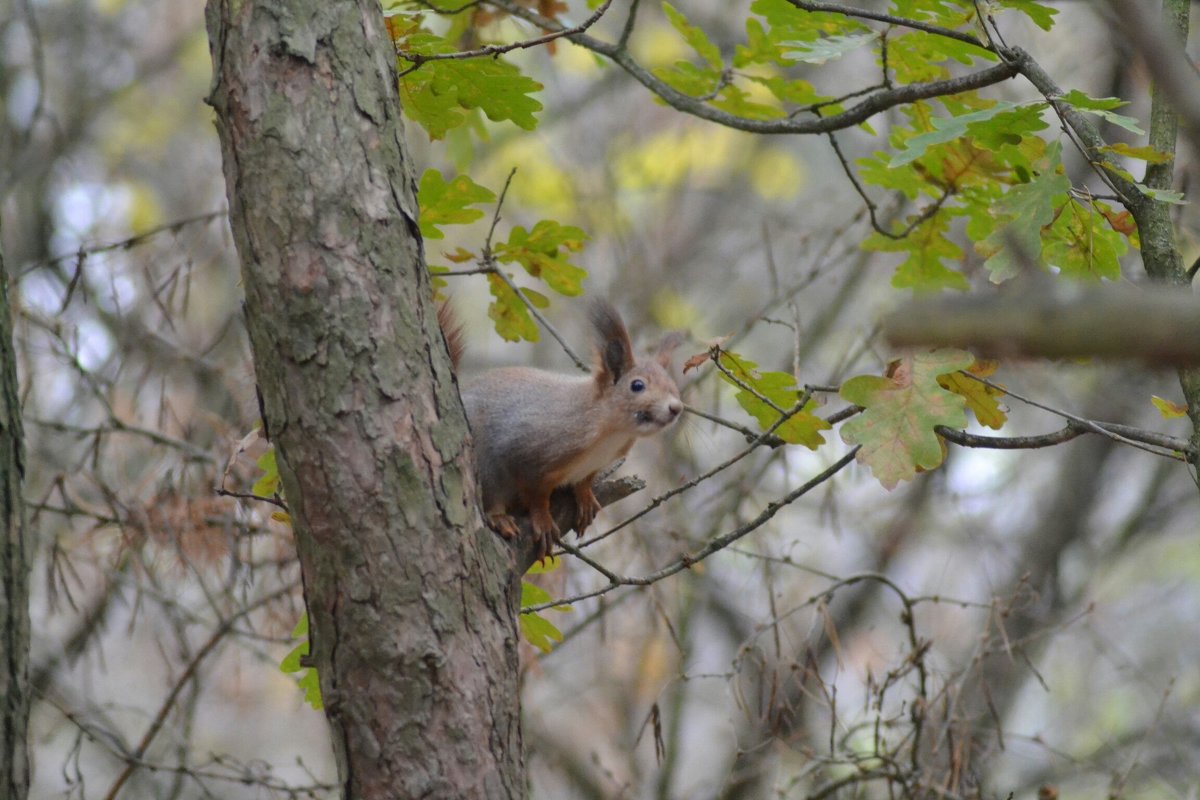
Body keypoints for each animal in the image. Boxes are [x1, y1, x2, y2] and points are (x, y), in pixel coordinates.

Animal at [444, 298, 686, 556]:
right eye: (637, 385)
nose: (676, 408)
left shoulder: (593, 465)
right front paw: (543, 520)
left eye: (673, 386)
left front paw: (585, 499)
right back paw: (500, 518)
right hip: (485, 466)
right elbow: (536, 494)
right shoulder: (527, 452)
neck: (610, 434)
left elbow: (584, 481)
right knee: (491, 496)